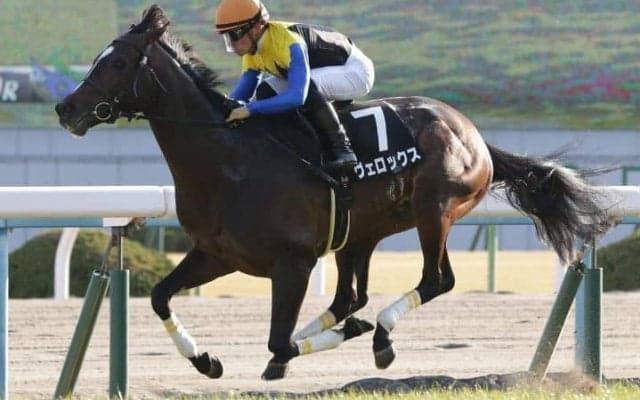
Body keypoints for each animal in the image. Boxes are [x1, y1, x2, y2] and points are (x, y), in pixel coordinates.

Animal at [55, 5, 615, 381]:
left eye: (118, 63)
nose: (65, 109)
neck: (229, 163)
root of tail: (472, 132)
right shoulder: (217, 253)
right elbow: (159, 296)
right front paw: (207, 359)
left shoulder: (293, 263)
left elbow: (276, 338)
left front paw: (332, 339)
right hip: (359, 231)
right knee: (350, 295)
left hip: (435, 210)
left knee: (435, 280)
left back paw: (379, 333)